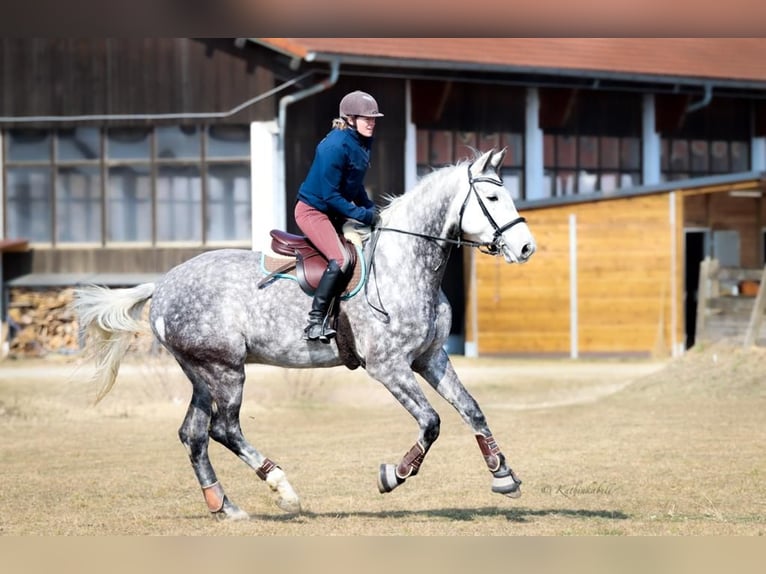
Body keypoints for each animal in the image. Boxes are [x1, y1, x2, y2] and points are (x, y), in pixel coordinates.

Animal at [75, 148, 536, 520]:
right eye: (493, 198)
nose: (526, 248)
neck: (406, 263)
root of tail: (163, 284)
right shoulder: (388, 367)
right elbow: (431, 422)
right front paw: (394, 474)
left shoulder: (431, 358)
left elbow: (472, 410)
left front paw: (503, 475)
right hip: (226, 370)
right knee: (225, 430)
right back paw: (283, 490)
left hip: (202, 374)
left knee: (194, 435)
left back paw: (224, 506)